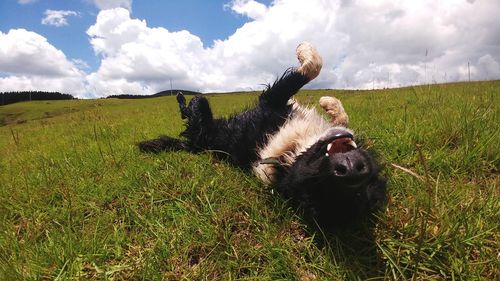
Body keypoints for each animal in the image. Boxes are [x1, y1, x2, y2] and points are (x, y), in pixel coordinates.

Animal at [139, 43, 388, 228]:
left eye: (358, 192)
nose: (352, 168)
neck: (291, 153)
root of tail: (194, 147)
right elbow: (340, 115)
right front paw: (330, 103)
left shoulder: (271, 100)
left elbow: (312, 67)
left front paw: (303, 50)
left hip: (203, 117)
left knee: (191, 110)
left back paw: (181, 97)